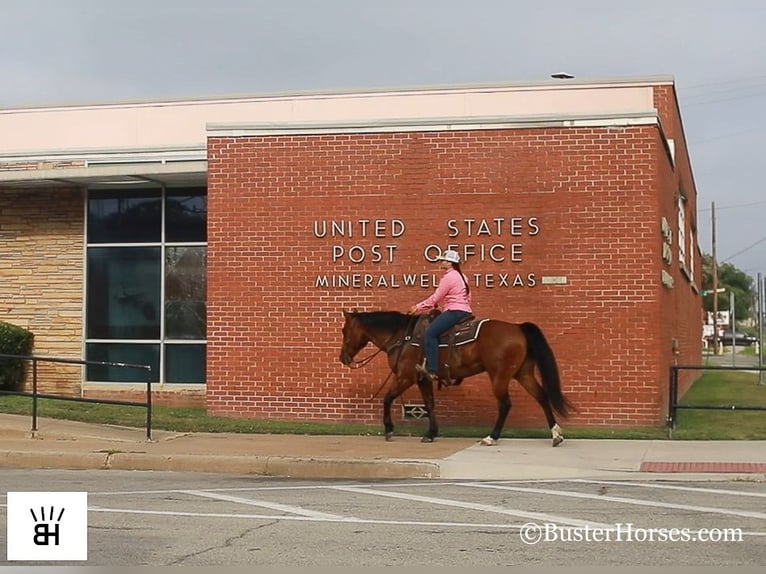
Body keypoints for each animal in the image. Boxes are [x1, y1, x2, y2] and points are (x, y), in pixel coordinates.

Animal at [340, 312, 572, 448]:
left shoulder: (405, 377)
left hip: (499, 375)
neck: (402, 337)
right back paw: (555, 434)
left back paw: (492, 437)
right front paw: (431, 433)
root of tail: (518, 327)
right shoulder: (423, 378)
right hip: (523, 373)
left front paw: (389, 429)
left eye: (344, 330)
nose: (343, 358)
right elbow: (429, 404)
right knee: (542, 397)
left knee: (505, 404)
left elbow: (387, 399)